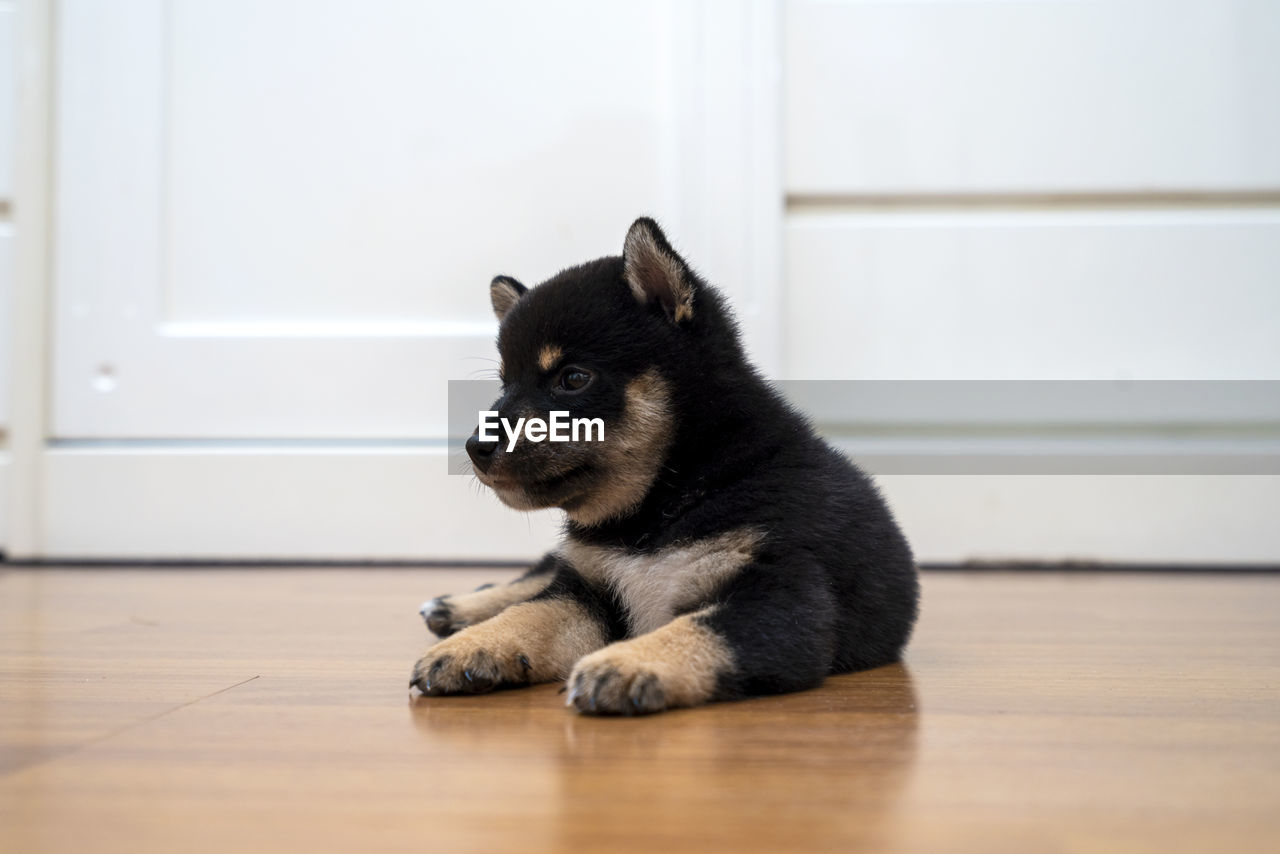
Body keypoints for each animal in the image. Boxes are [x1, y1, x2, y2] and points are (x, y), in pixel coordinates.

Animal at [412, 218, 921, 717]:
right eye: (504, 384)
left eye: (572, 378)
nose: (476, 446)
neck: (664, 501)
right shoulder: (587, 586)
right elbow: (532, 612)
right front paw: (472, 646)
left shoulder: (781, 596)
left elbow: (697, 628)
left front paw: (626, 663)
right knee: (535, 576)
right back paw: (459, 607)